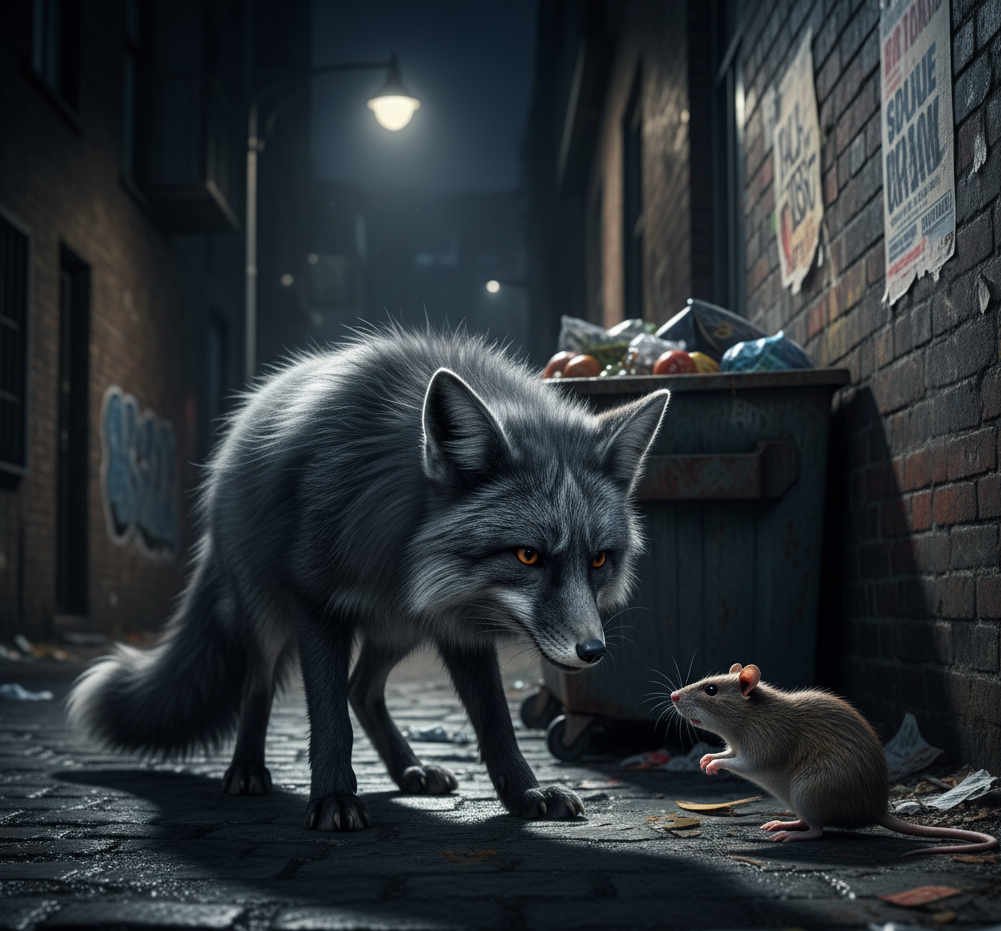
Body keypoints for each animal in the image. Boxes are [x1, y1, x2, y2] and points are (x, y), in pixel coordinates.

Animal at [68, 327, 670, 831]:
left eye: (599, 560)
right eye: (528, 556)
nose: (592, 651)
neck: (404, 545)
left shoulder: (460, 618)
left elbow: (495, 722)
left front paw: (525, 795)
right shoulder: (315, 600)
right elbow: (328, 715)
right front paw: (333, 797)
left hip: (400, 628)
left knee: (364, 689)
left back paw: (409, 770)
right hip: (270, 618)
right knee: (261, 687)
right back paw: (247, 770)